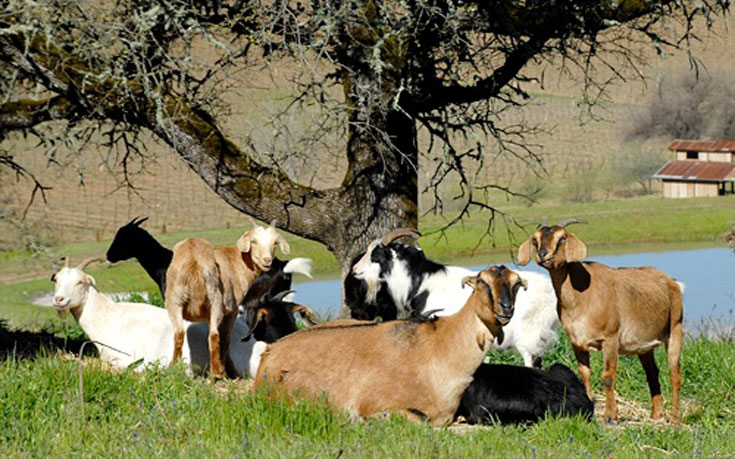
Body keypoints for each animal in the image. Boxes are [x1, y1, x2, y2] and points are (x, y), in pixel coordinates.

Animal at [165, 219, 289, 379]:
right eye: (254, 241)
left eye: (275, 243)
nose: (267, 260)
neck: (238, 262)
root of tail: (194, 261)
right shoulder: (232, 310)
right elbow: (225, 339)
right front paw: (231, 373)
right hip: (213, 301)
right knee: (214, 336)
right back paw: (217, 374)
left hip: (177, 300)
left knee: (182, 334)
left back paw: (176, 369)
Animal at [517, 219, 684, 423]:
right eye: (535, 240)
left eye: (562, 238)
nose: (543, 255)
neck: (581, 297)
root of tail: (671, 282)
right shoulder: (577, 342)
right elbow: (584, 374)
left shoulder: (610, 339)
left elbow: (608, 376)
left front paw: (611, 416)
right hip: (645, 346)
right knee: (652, 372)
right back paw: (657, 414)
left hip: (675, 328)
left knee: (675, 373)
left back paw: (675, 417)